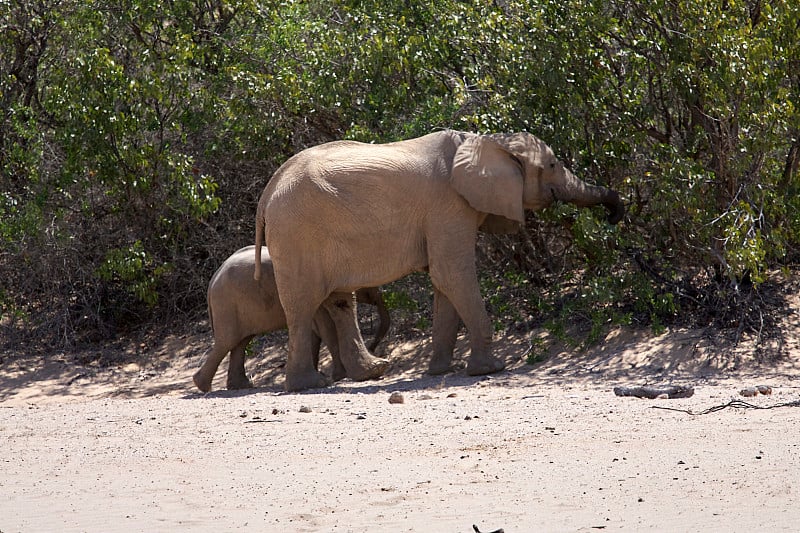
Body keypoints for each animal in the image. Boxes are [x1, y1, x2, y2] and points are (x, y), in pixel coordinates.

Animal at [194, 245, 388, 390]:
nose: (374, 347)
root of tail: (212, 280)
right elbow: (324, 328)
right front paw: (337, 376)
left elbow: (316, 332)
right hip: (226, 304)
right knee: (227, 341)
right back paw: (203, 386)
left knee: (241, 342)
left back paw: (240, 386)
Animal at [258, 130, 624, 390]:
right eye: (551, 166)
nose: (614, 217)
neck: (488, 142)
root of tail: (268, 190)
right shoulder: (449, 206)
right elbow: (453, 274)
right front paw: (489, 369)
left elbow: (444, 283)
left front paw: (440, 370)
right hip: (296, 234)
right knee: (302, 307)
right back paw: (308, 385)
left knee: (339, 301)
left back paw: (373, 371)